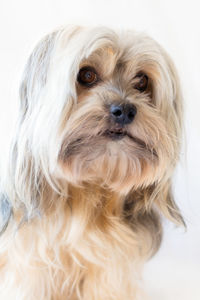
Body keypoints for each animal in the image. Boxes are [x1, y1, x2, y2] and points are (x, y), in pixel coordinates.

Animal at [0, 26, 184, 300]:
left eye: (142, 81)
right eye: (86, 74)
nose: (124, 110)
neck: (91, 190)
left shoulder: (111, 272)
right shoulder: (31, 265)